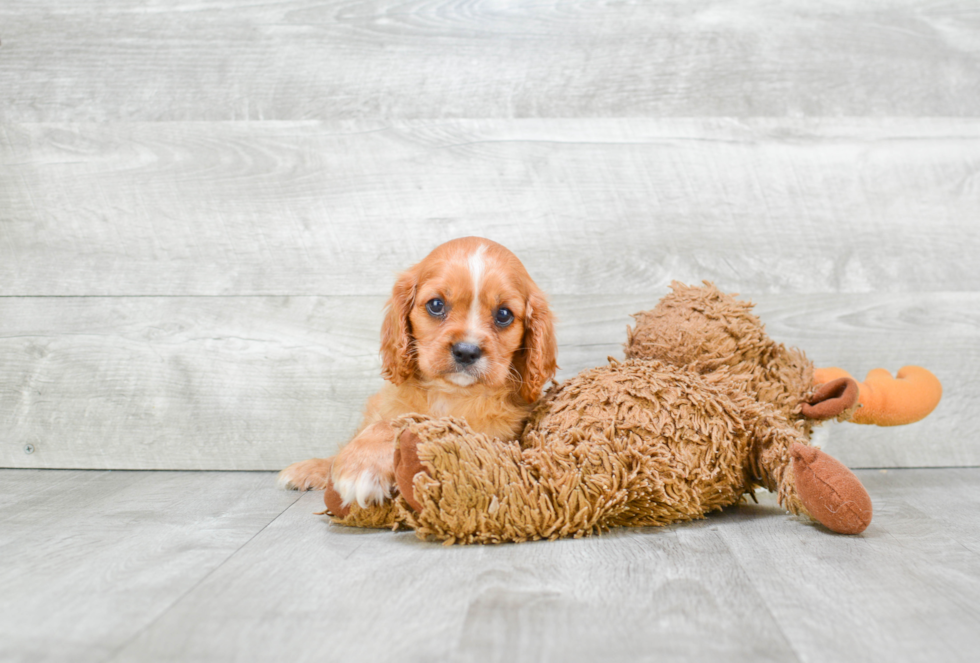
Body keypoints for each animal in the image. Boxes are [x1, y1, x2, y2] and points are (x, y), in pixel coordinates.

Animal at [280, 237, 556, 512]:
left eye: (504, 314)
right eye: (436, 305)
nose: (466, 352)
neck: (449, 392)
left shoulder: (492, 439)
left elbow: (408, 425)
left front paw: (361, 467)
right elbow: (385, 422)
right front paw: (329, 466)